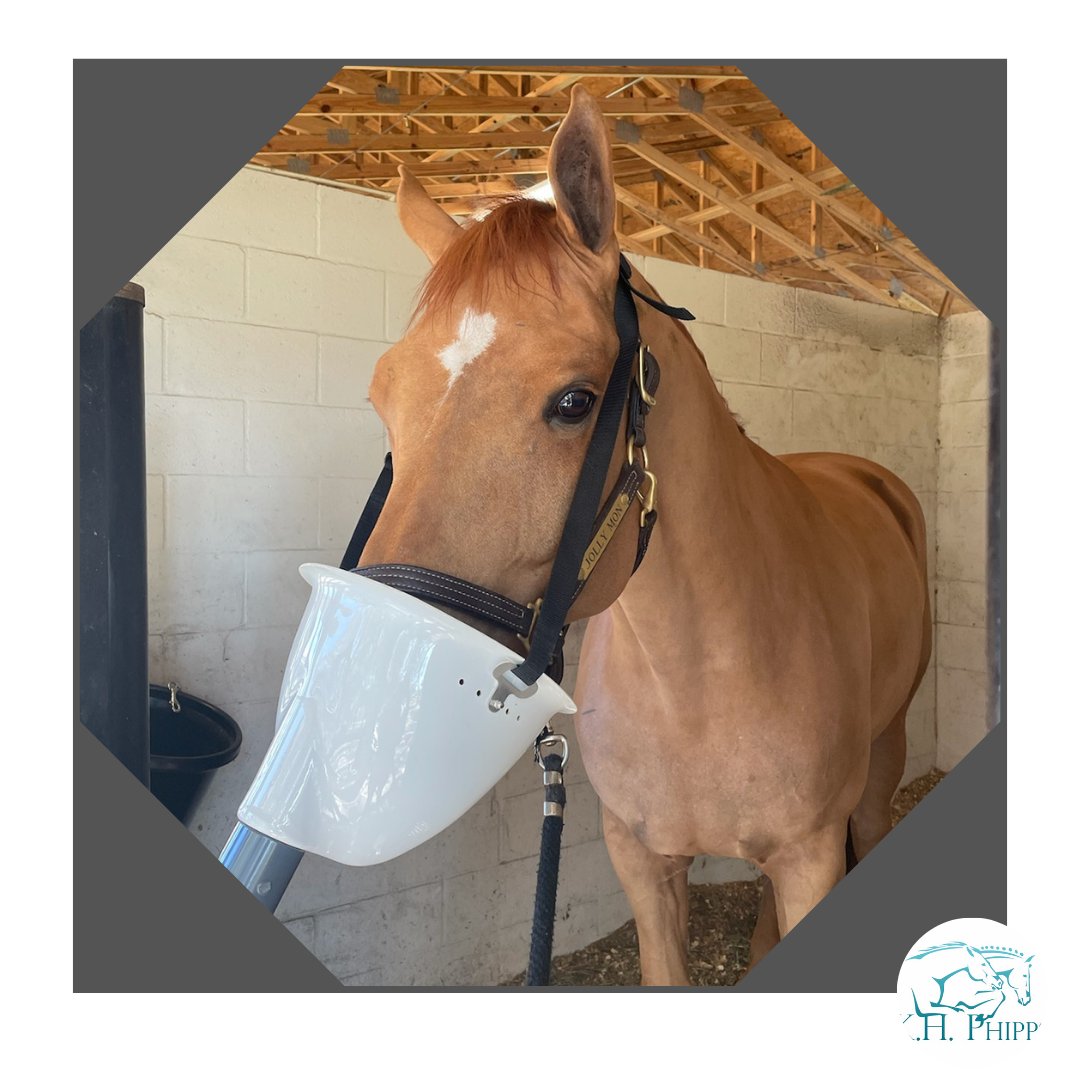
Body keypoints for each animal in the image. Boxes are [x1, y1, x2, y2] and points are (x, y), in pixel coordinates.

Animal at [356, 85, 932, 985]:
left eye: (574, 401)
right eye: (384, 394)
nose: (383, 671)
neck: (696, 674)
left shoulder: (810, 856)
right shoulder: (643, 862)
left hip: (885, 758)